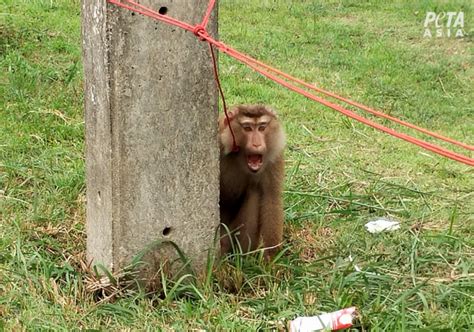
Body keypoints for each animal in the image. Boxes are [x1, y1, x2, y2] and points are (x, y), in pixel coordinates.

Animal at [218, 104, 286, 260]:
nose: (256, 144)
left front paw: (271, 258)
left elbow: (271, 198)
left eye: (261, 128)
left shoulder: (274, 158)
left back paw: (243, 257)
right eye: (248, 128)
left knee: (254, 191)